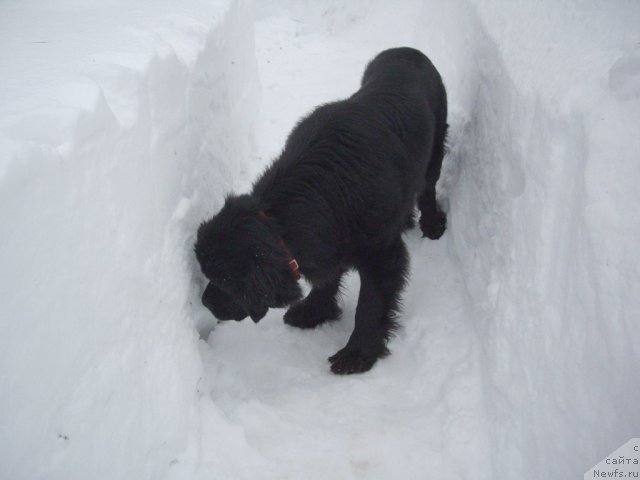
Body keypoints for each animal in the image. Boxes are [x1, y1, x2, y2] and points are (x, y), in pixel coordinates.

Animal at [198, 46, 448, 376]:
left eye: (226, 280)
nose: (206, 303)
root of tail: (407, 50)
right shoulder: (328, 239)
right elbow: (327, 277)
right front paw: (313, 311)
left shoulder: (381, 255)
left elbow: (370, 306)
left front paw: (357, 354)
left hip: (435, 144)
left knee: (427, 187)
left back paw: (432, 223)